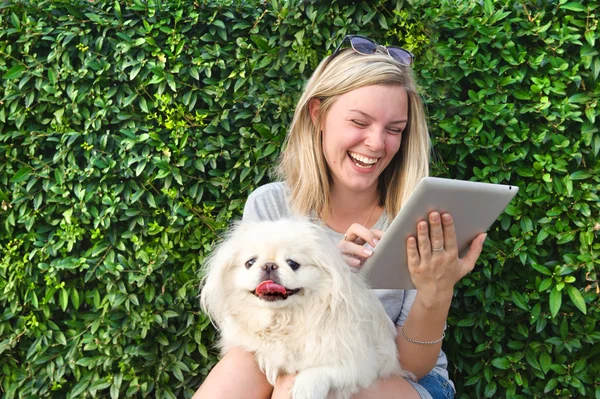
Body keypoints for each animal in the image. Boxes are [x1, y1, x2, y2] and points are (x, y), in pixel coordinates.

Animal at [199, 219, 410, 399]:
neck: (283, 321)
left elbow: (328, 370)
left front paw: (306, 387)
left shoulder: (364, 363)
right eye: (249, 263)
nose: (269, 266)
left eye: (293, 264)